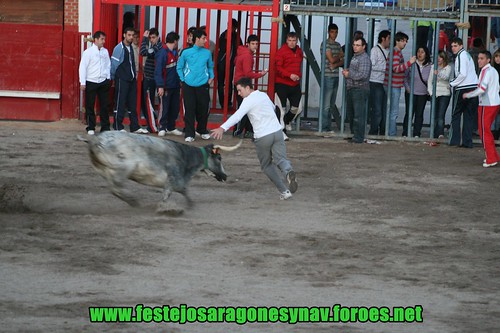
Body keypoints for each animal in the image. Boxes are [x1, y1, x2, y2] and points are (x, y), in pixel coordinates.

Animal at [77, 131, 242, 214]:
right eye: (219, 158)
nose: (225, 176)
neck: (185, 156)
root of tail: (94, 139)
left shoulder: (175, 181)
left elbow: (180, 191)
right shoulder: (174, 179)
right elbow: (174, 193)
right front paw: (170, 209)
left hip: (104, 170)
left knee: (113, 188)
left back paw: (133, 202)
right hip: (123, 168)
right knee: (116, 186)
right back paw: (133, 201)